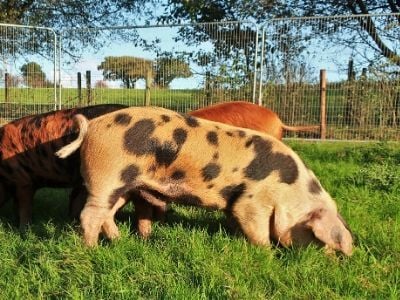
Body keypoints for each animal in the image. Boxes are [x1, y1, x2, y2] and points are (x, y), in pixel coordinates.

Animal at [57, 106, 354, 254]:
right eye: (317, 237)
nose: (333, 259)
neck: (290, 190)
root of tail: (91, 127)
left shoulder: (236, 206)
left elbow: (236, 221)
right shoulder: (252, 202)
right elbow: (258, 232)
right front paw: (268, 254)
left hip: (123, 186)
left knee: (107, 215)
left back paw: (119, 242)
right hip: (106, 177)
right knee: (90, 215)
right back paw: (92, 250)